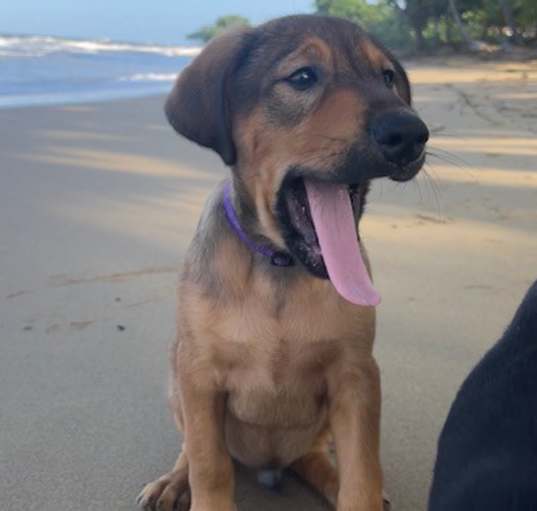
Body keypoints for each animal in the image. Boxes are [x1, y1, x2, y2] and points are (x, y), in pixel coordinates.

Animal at [137, 14, 428, 511]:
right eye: (303, 77)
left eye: (388, 77)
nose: (410, 134)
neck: (279, 268)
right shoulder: (199, 375)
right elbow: (209, 464)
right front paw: (197, 487)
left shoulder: (356, 375)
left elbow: (362, 474)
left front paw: (361, 490)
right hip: (176, 380)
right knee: (191, 450)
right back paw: (174, 481)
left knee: (316, 457)